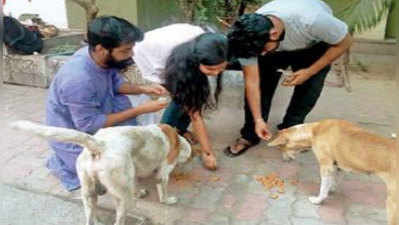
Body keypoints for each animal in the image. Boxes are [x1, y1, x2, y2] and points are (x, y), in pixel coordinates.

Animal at [11, 120, 192, 225]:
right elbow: (163, 191)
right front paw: (168, 200)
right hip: (123, 200)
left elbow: (135, 183)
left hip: (89, 193)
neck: (177, 139)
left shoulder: (133, 172)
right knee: (119, 219)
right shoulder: (163, 173)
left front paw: (139, 191)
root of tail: (99, 144)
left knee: (91, 217)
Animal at [268, 118, 396, 224]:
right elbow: (332, 181)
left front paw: (318, 200)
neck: (315, 130)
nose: (284, 159)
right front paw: (332, 188)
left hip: (392, 203)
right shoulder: (336, 166)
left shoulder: (326, 166)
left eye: (280, 148)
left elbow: (323, 188)